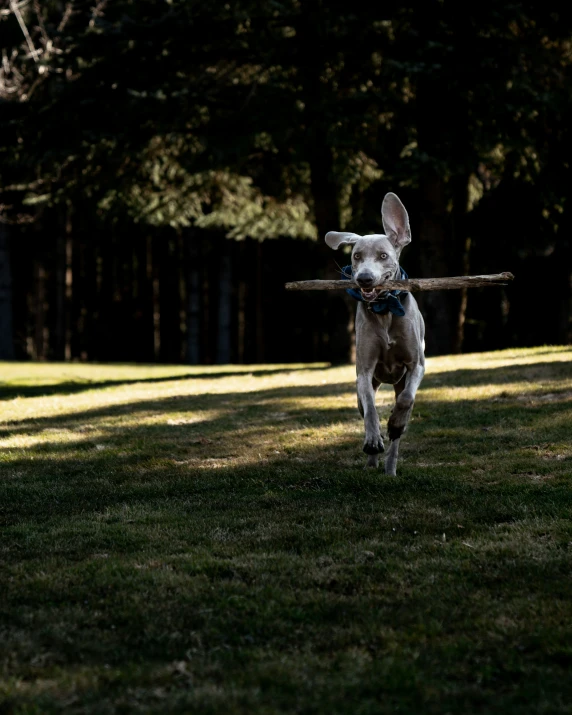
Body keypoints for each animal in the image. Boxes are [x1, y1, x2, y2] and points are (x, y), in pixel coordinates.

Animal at [326, 194, 424, 476]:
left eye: (383, 256)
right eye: (357, 256)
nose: (365, 279)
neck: (385, 310)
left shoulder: (417, 365)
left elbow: (406, 399)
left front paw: (395, 423)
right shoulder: (365, 371)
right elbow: (370, 408)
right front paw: (372, 440)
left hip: (401, 382)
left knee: (398, 428)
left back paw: (390, 466)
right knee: (364, 409)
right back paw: (372, 460)